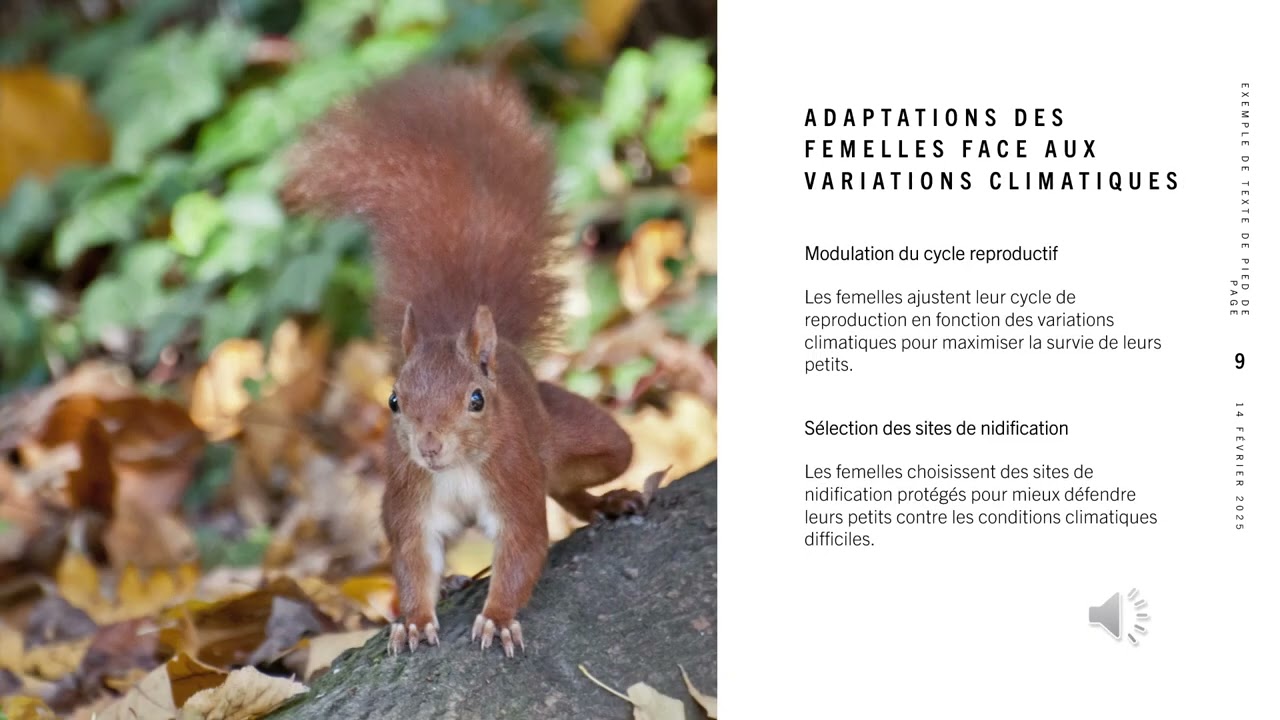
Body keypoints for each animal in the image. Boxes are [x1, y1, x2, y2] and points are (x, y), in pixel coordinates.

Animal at [284, 66, 646, 657]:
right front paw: (413, 619)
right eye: (394, 401)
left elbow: (523, 545)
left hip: (585, 440)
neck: (454, 471)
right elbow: (412, 556)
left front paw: (497, 617)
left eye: (476, 400)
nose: (429, 446)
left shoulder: (513, 476)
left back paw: (607, 502)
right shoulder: (410, 495)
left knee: (573, 474)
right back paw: (454, 580)